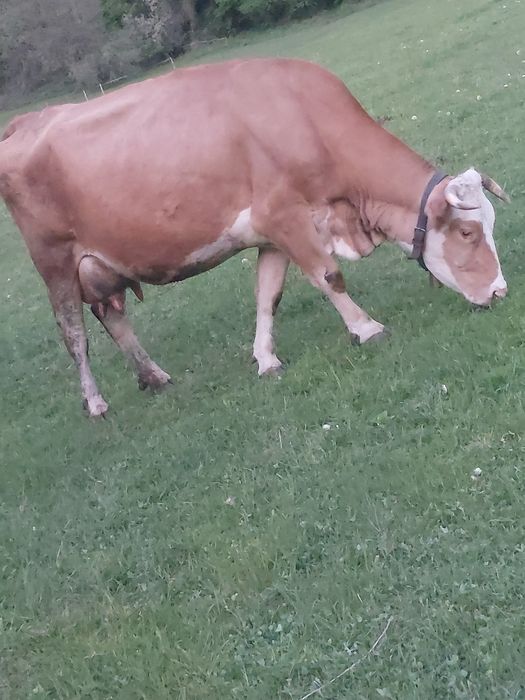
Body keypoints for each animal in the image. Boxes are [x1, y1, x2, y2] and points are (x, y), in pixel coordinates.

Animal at [0, 58, 510, 416]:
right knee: (73, 333)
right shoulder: (285, 216)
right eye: (467, 231)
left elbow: (270, 296)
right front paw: (367, 328)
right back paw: (96, 402)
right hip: (54, 261)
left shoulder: (271, 235)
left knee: (111, 316)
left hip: (100, 262)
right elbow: (330, 276)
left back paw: (155, 376)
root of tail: (26, 121)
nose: (500, 291)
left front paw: (266, 359)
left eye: (489, 225)